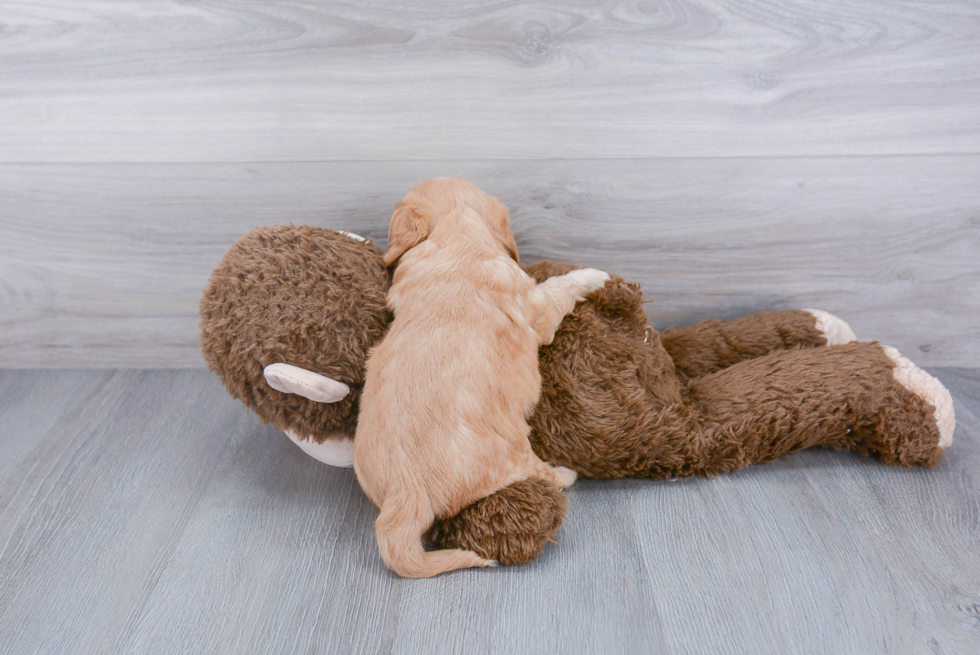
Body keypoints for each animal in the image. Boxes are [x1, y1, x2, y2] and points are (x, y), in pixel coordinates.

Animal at [356, 179, 608, 580]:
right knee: (537, 474)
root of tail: (405, 492)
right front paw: (593, 275)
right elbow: (557, 289)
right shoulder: (536, 306)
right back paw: (564, 473)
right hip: (513, 451)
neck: (458, 233)